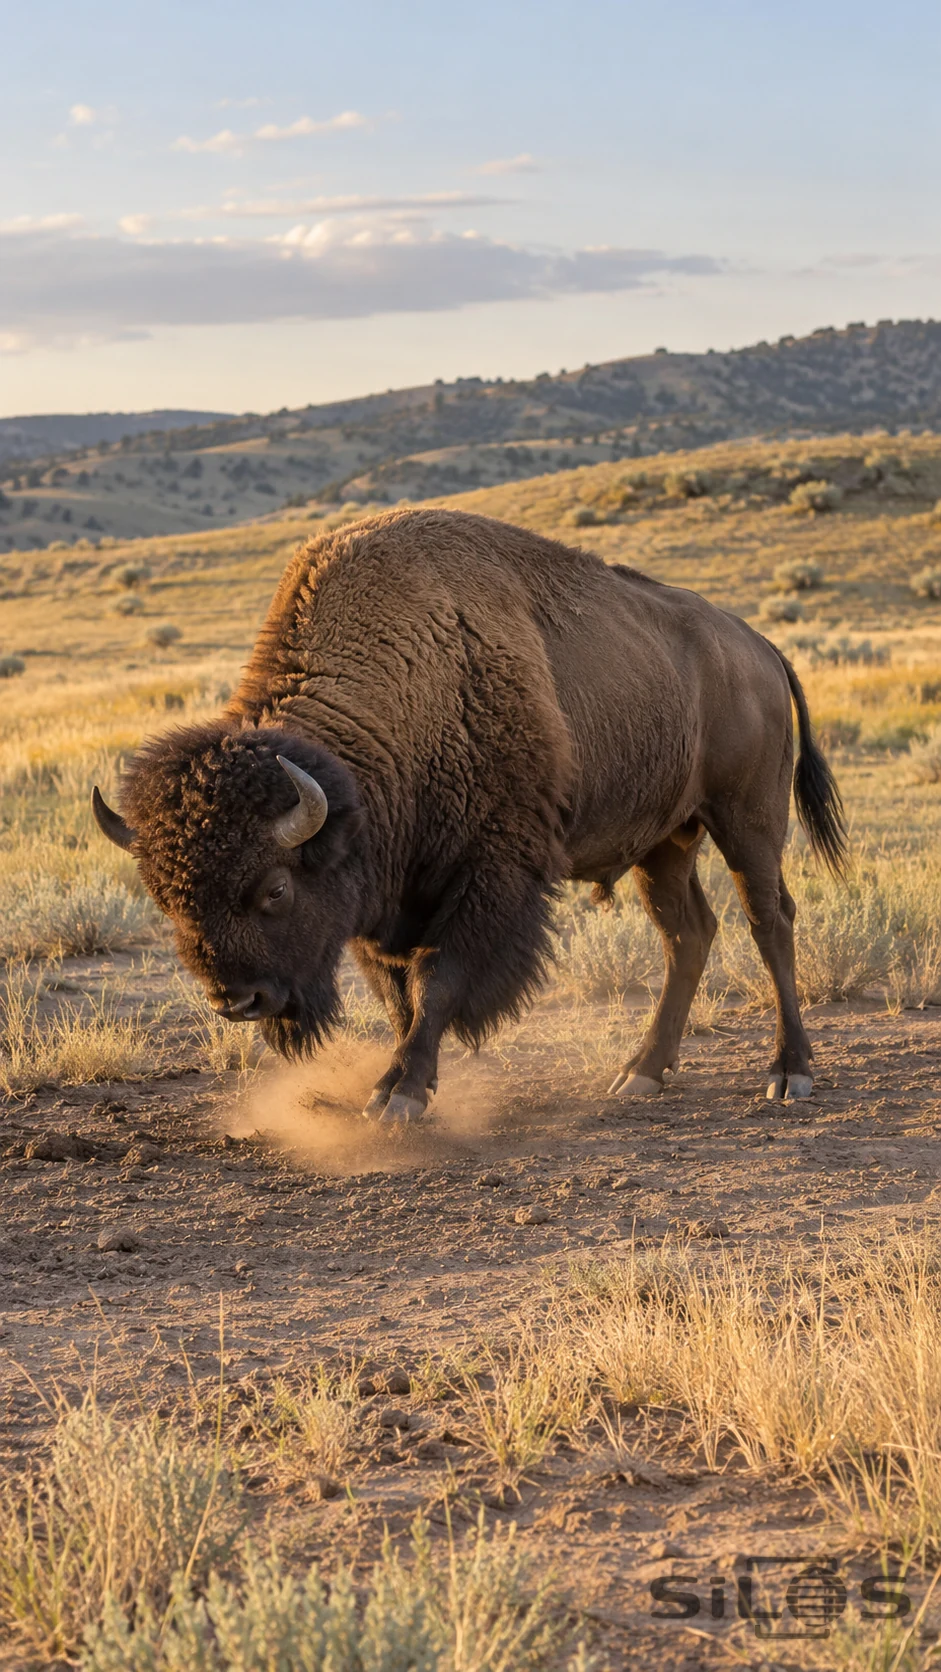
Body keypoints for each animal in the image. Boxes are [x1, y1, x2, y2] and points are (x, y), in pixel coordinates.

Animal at [93, 507, 845, 1120]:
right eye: (166, 899)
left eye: (274, 888)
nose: (237, 1000)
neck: (403, 683)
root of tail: (758, 647)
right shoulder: (385, 899)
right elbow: (398, 994)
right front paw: (400, 1080)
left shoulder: (486, 874)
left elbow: (437, 979)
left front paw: (399, 1094)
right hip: (664, 842)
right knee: (687, 934)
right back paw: (640, 1074)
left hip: (746, 822)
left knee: (769, 922)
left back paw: (788, 1074)